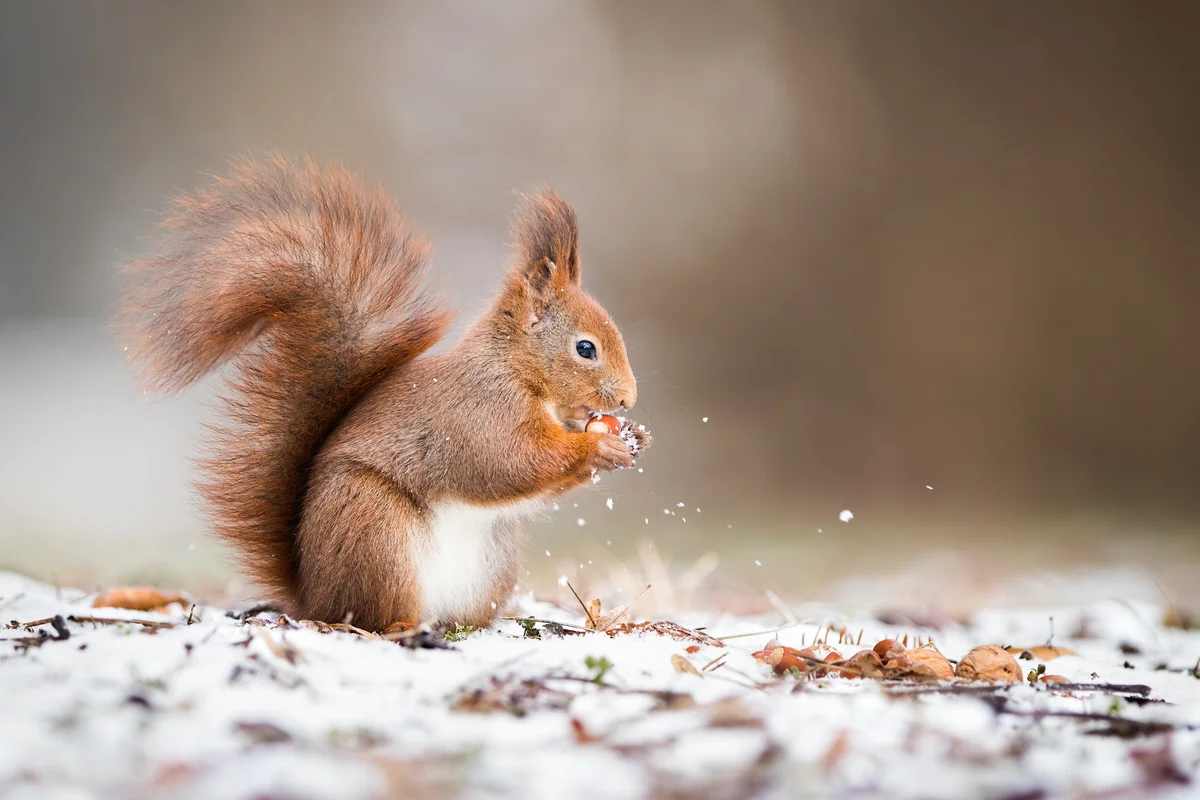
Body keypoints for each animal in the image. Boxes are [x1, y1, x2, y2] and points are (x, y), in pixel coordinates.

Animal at [117, 156, 650, 632]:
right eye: (585, 348)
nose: (627, 401)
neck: (518, 372)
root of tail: (313, 595)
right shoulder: (480, 412)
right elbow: (509, 462)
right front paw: (599, 446)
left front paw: (633, 438)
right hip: (375, 531)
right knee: (372, 613)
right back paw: (401, 626)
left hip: (493, 561)